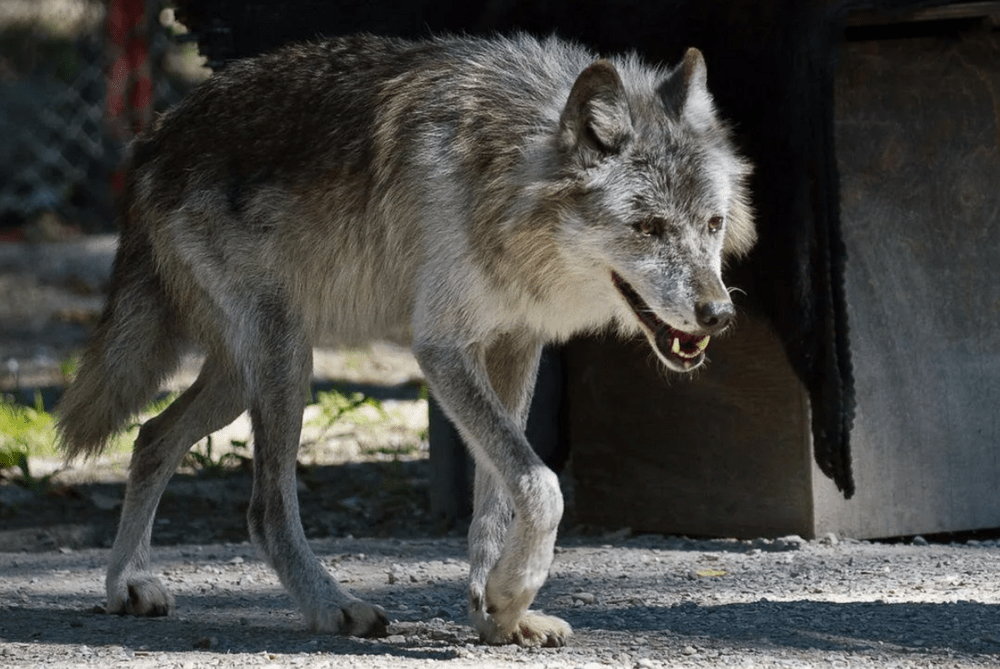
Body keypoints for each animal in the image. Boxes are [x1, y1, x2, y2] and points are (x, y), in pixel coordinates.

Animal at [54, 32, 752, 648]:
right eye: (649, 227)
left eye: (713, 224)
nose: (718, 314)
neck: (506, 168)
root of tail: (154, 138)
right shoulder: (442, 350)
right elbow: (541, 485)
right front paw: (511, 591)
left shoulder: (515, 345)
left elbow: (497, 498)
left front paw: (497, 611)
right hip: (286, 359)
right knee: (264, 507)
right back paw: (332, 606)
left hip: (242, 376)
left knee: (151, 437)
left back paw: (127, 585)